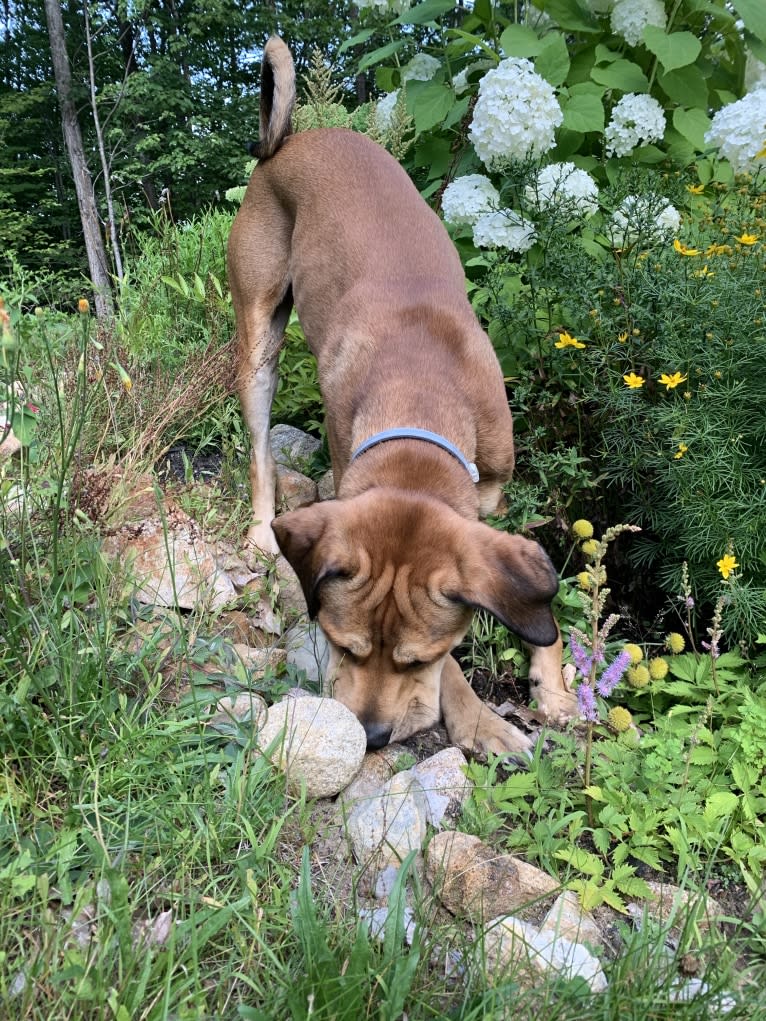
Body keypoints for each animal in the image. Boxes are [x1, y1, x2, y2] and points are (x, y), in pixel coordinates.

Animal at [230, 35, 580, 755]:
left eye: (417, 657)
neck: (420, 389)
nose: (372, 734)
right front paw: (481, 719)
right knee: (258, 447)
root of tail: (290, 142)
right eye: (342, 646)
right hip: (257, 342)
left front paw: (554, 688)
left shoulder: (490, 503)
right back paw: (258, 527)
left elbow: (538, 607)